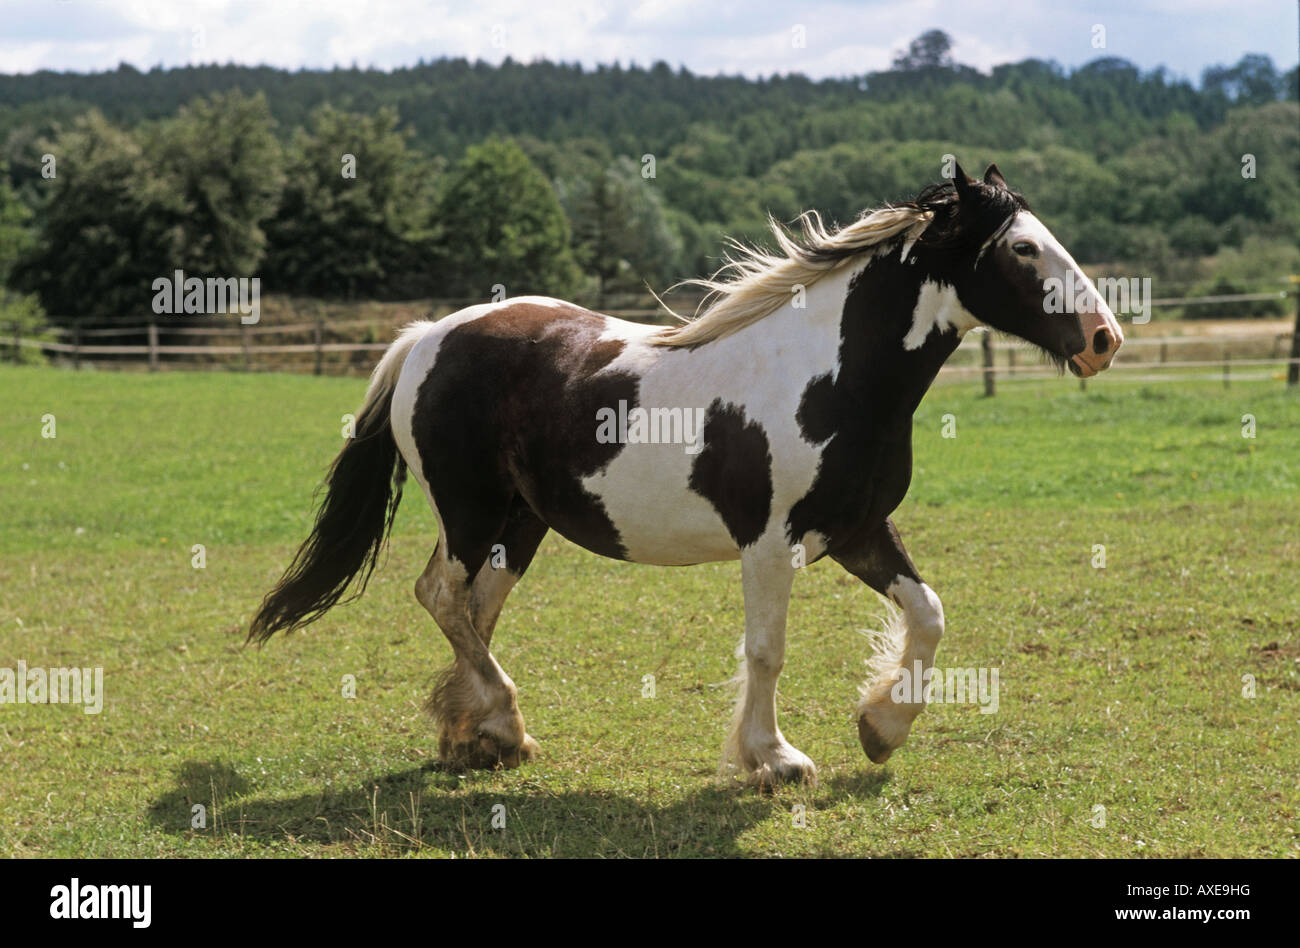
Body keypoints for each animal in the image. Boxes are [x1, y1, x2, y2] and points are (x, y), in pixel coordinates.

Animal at [248, 160, 1123, 785]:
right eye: (1021, 248)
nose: (1105, 339)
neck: (831, 376)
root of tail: (427, 336)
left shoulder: (857, 529)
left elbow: (930, 613)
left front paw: (880, 729)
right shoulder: (769, 544)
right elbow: (766, 650)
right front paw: (774, 759)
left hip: (520, 522)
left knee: (475, 608)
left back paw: (484, 737)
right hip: (468, 508)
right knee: (440, 595)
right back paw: (500, 722)